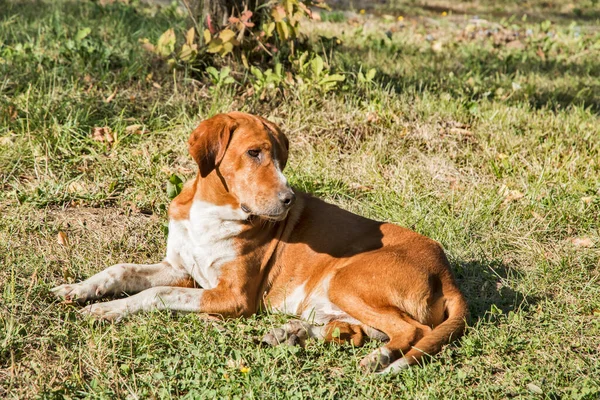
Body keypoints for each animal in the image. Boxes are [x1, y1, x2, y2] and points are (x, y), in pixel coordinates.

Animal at [51, 111, 468, 374]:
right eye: (254, 153)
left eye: (281, 158)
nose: (288, 200)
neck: (211, 211)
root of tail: (447, 273)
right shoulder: (179, 269)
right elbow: (120, 269)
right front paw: (78, 289)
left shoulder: (234, 295)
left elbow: (156, 295)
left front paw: (107, 310)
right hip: (332, 299)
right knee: (353, 331)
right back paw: (290, 332)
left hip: (346, 280)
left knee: (411, 332)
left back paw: (376, 359)